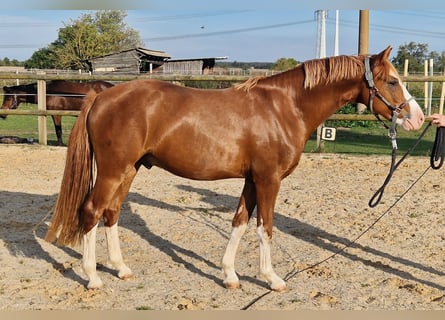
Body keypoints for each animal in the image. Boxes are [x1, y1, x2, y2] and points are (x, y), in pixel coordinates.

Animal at [45, 47, 424, 292]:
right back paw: (93, 277)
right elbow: (265, 227)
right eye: (392, 81)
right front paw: (272, 279)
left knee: (111, 213)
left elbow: (240, 222)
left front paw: (229, 275)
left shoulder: (252, 180)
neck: (285, 107)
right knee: (91, 211)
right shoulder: (269, 180)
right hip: (113, 170)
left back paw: (121, 269)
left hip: (129, 170)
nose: (418, 118)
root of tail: (101, 97)